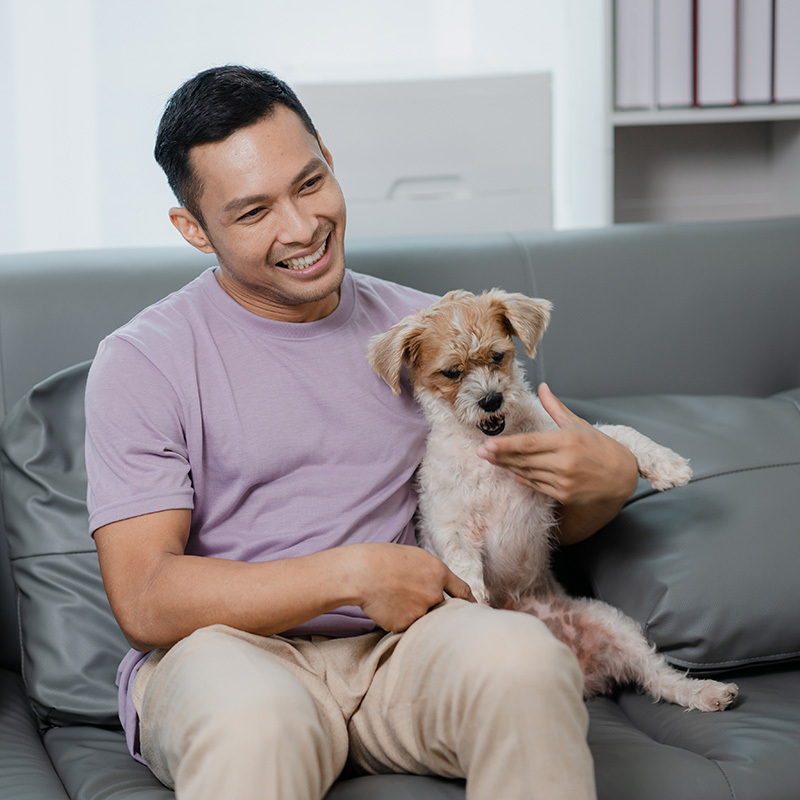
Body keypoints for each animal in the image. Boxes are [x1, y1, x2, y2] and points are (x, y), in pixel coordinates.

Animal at [368, 290, 736, 712]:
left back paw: (707, 691)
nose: (491, 400)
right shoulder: (447, 521)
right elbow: (460, 562)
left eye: (498, 356)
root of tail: (583, 675)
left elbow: (622, 433)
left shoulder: (563, 439)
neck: (489, 449)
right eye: (450, 373)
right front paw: (475, 596)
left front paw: (666, 464)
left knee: (659, 677)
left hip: (614, 624)